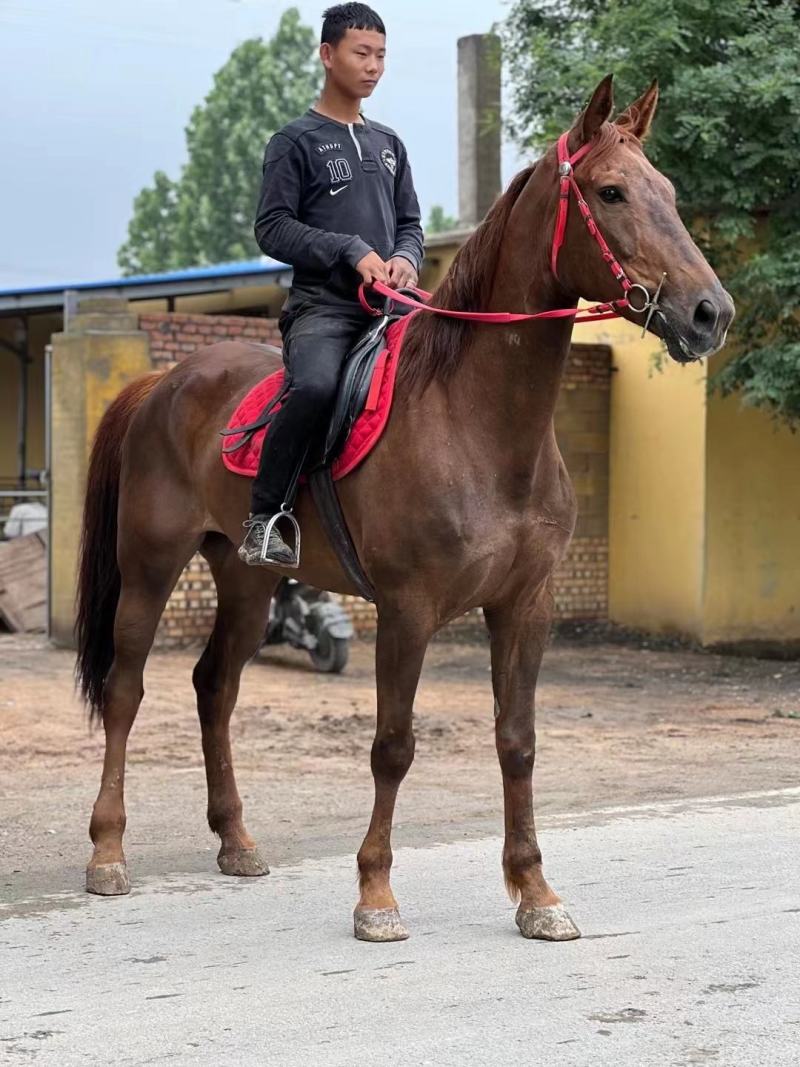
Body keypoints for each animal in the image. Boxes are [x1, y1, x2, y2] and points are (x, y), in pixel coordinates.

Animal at [75, 76, 734, 942]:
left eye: (671, 194)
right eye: (612, 192)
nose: (710, 313)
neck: (478, 425)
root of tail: (162, 382)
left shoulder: (526, 604)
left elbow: (518, 740)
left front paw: (535, 891)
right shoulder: (408, 607)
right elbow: (393, 744)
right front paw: (376, 894)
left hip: (249, 578)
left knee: (215, 686)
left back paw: (237, 841)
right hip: (149, 566)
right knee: (125, 690)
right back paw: (107, 851)